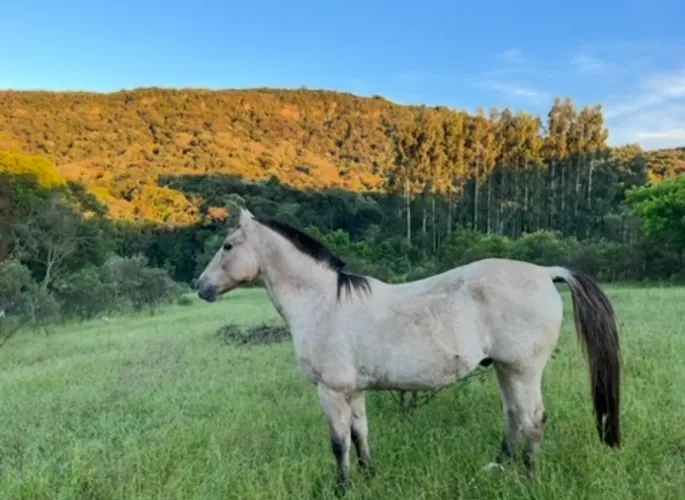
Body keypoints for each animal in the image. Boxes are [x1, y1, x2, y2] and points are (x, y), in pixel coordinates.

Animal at [195, 208, 622, 495]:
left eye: (227, 245)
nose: (200, 287)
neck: (322, 302)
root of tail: (545, 272)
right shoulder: (354, 390)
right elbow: (360, 434)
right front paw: (369, 477)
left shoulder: (331, 391)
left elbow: (338, 443)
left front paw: (342, 488)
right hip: (505, 369)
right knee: (514, 415)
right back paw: (500, 466)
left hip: (522, 369)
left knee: (533, 420)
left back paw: (528, 479)